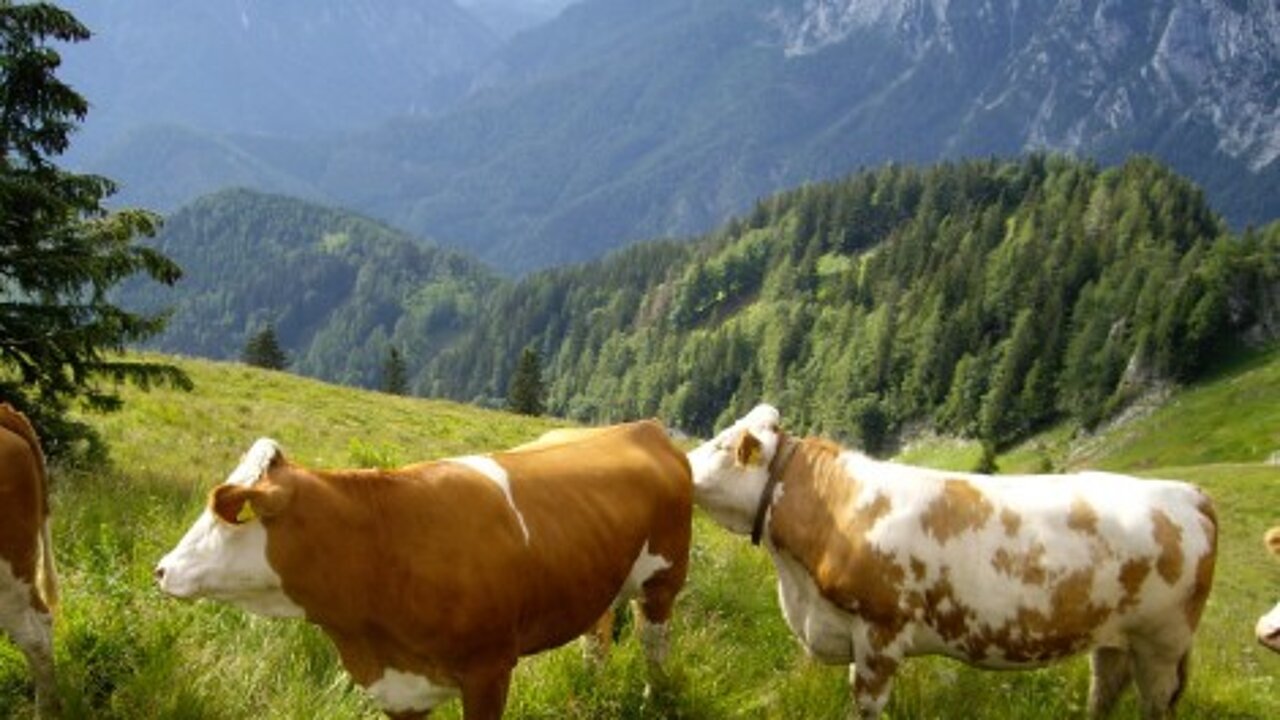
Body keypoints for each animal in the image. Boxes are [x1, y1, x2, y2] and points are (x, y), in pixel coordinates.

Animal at [155, 419, 692, 719]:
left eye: (232, 513)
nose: (161, 569)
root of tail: (641, 426)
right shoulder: (398, 689)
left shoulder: (490, 671)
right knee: (597, 634)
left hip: (664, 581)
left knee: (654, 643)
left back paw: (653, 699)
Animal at [689, 404, 1218, 720]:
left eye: (723, 446)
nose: (681, 463)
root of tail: (1189, 494)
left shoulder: (881, 634)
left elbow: (866, 704)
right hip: (1115, 639)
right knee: (1105, 690)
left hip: (1162, 646)